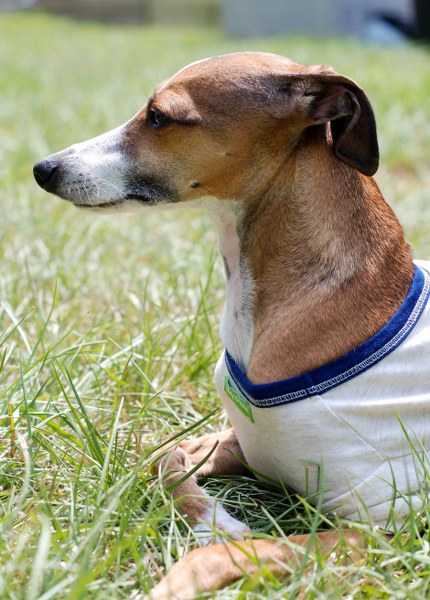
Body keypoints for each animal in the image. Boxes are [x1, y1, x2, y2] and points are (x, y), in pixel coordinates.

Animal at [34, 52, 430, 599]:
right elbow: (162, 457)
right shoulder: (238, 441)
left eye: (159, 116)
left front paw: (190, 566)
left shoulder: (377, 530)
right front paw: (213, 518)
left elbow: (221, 553)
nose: (43, 168)